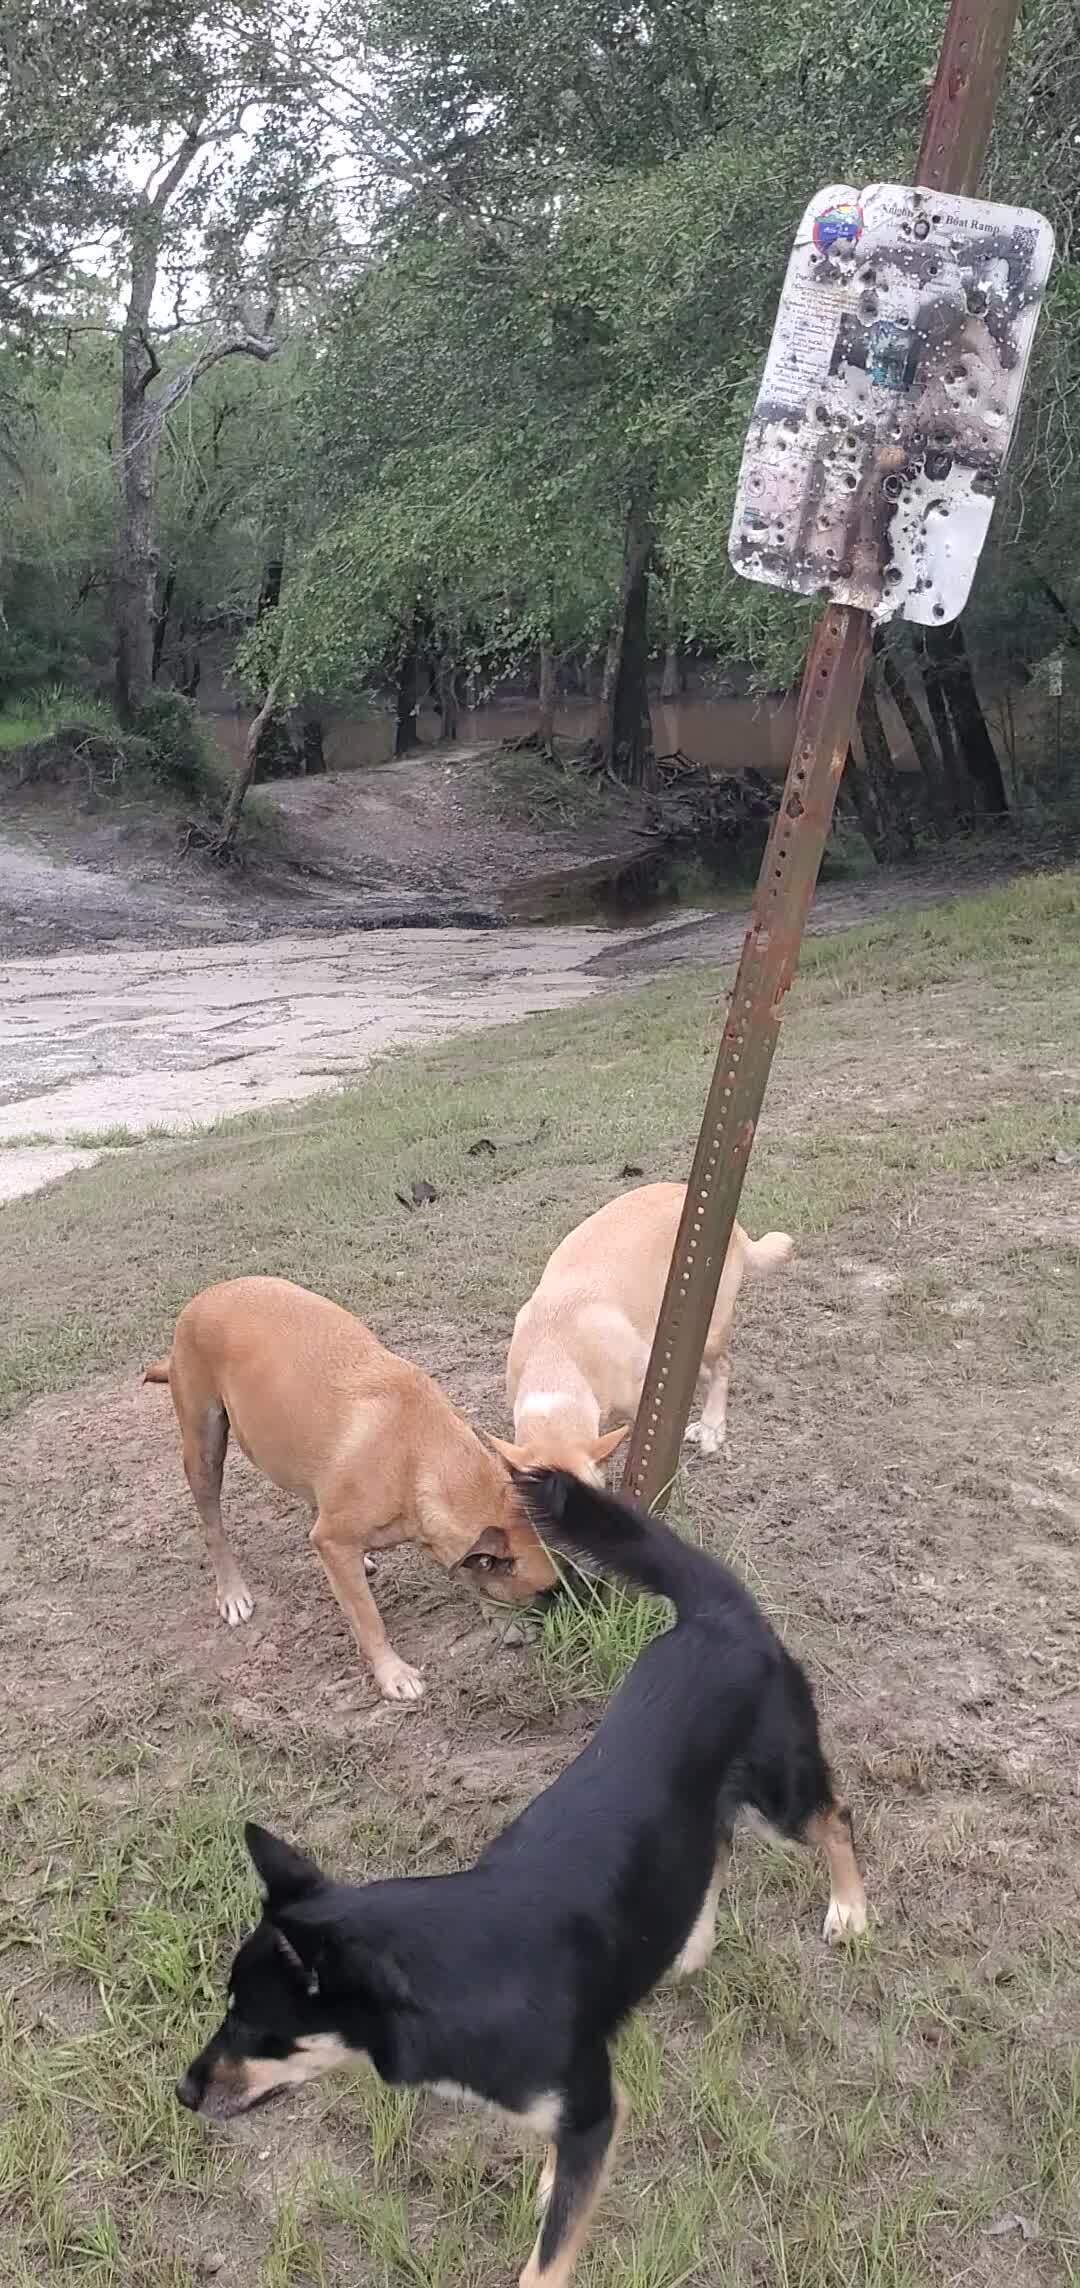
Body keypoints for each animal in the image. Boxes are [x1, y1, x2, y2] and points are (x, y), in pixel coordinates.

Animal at [143, 1281, 553, 1711]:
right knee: (214, 1529)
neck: (421, 1459)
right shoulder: (335, 1541)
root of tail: (207, 1294)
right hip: (204, 1449)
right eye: (547, 1591)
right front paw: (393, 1673)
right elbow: (369, 1618)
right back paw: (233, 1593)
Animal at [179, 1473, 869, 2278]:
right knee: (716, 1847)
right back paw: (690, 1944)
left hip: (780, 1793)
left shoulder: (596, 2109)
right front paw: (544, 2176)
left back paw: (850, 1910)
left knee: (836, 1818)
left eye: (254, 2024)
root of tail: (717, 1610)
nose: (183, 2091)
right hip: (710, 1810)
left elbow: (549, 2258)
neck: (450, 1979)